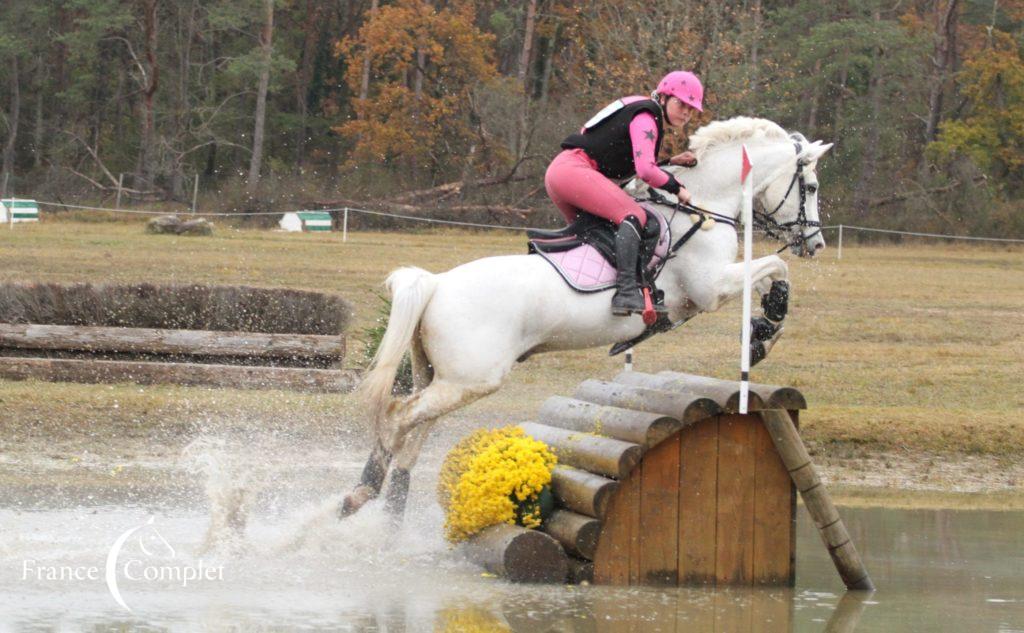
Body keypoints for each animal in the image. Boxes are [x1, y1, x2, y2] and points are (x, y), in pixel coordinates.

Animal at [344, 115, 831, 514]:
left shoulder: (710, 291)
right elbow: (775, 268)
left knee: (413, 433)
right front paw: (765, 330)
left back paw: (385, 510)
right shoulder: (711, 289)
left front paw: (761, 327)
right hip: (472, 379)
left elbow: (769, 274)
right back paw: (362, 492)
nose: (817, 244)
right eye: (810, 188)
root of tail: (437, 283)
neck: (702, 205)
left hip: (442, 378)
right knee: (399, 416)